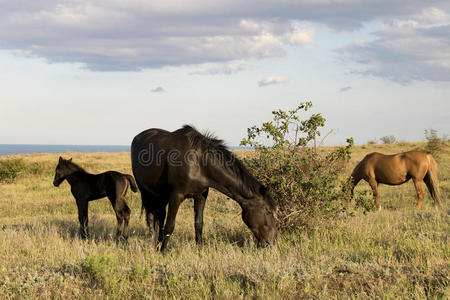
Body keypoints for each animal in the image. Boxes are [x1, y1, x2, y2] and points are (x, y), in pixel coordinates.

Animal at [131, 125, 278, 251]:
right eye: (268, 211)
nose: (272, 241)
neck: (199, 163)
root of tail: (138, 137)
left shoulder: (201, 196)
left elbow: (198, 224)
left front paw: (200, 250)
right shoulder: (176, 196)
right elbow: (170, 226)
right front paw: (163, 252)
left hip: (161, 195)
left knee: (160, 217)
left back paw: (157, 244)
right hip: (146, 192)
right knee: (151, 218)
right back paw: (153, 245)